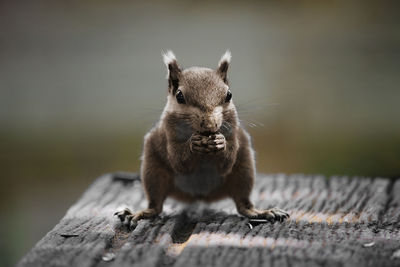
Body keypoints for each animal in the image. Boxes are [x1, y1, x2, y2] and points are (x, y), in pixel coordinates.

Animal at [114, 50, 290, 228]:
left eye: (229, 95)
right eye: (179, 96)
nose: (210, 124)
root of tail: (199, 195)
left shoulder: (233, 134)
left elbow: (227, 161)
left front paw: (220, 142)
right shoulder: (168, 135)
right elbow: (178, 161)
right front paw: (193, 144)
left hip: (244, 169)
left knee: (243, 204)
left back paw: (262, 212)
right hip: (153, 171)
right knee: (156, 206)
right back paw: (138, 214)